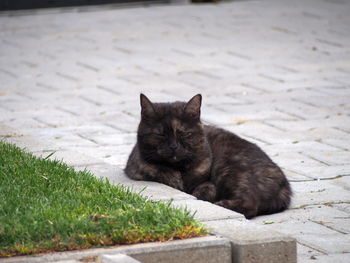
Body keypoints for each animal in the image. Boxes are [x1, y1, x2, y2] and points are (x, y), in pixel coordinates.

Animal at [124, 94, 292, 220]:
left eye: (185, 133)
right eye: (160, 134)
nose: (173, 146)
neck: (180, 170)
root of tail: (284, 186)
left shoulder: (208, 181)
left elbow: (205, 189)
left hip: (229, 168)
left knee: (250, 204)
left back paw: (221, 204)